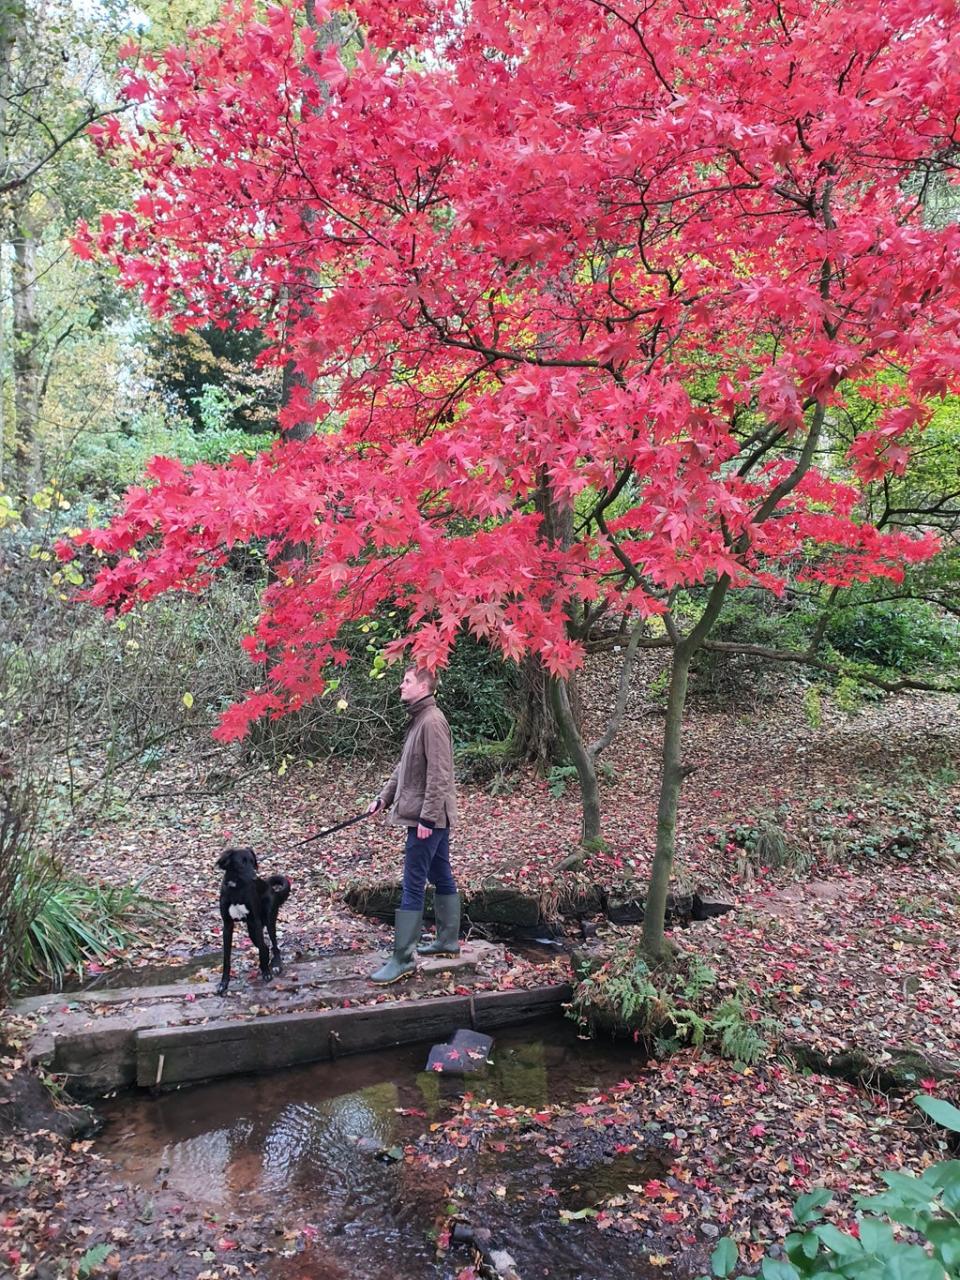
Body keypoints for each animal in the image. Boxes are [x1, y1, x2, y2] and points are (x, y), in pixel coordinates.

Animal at [216, 849, 291, 998]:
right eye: (241, 863)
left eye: (252, 861)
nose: (255, 878)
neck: (236, 889)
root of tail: (270, 887)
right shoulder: (227, 926)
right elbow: (226, 958)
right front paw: (223, 984)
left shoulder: (255, 921)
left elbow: (261, 949)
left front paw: (266, 973)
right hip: (251, 931)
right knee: (266, 947)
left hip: (268, 920)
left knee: (273, 945)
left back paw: (275, 965)